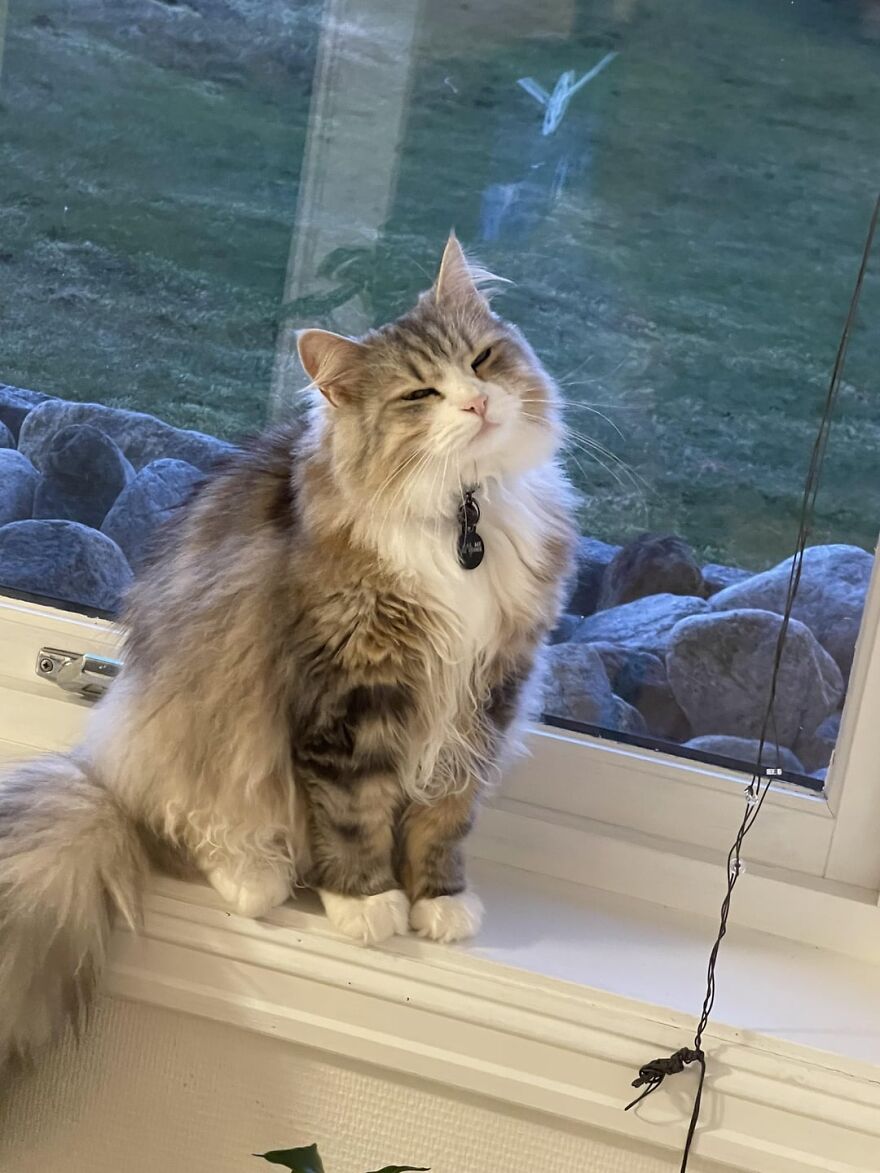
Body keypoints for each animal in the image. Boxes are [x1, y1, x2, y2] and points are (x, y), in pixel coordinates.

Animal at [0, 233, 579, 1069]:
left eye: (482, 359)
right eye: (419, 395)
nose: (475, 402)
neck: (460, 517)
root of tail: (101, 776)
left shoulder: (488, 691)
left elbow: (446, 813)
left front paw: (438, 899)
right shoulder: (349, 688)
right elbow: (353, 808)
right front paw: (368, 899)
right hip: (200, 732)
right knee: (193, 824)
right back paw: (256, 877)